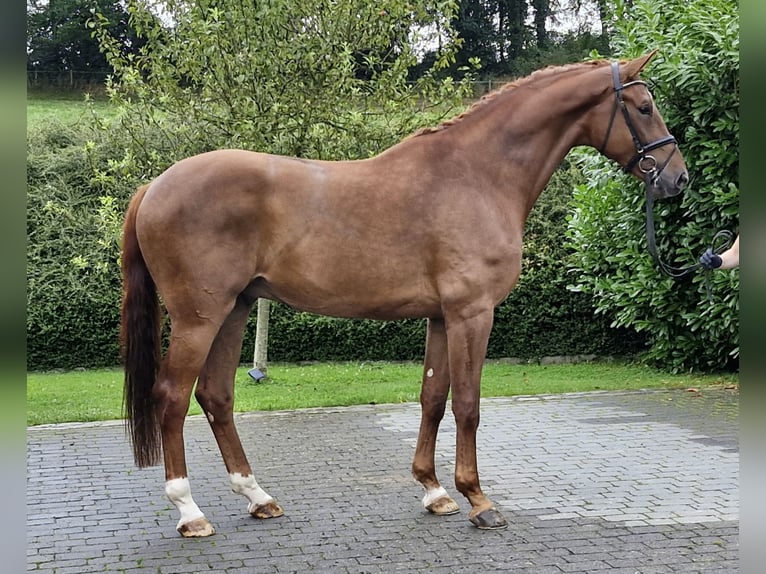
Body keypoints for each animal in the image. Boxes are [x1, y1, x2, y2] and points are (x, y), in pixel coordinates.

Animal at [121, 51, 688, 536]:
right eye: (644, 107)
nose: (677, 179)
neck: (477, 175)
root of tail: (153, 186)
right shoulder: (472, 313)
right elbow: (468, 404)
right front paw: (478, 500)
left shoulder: (441, 317)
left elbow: (432, 399)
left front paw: (435, 492)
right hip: (200, 315)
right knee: (172, 396)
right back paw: (190, 511)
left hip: (235, 309)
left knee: (216, 395)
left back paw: (258, 498)